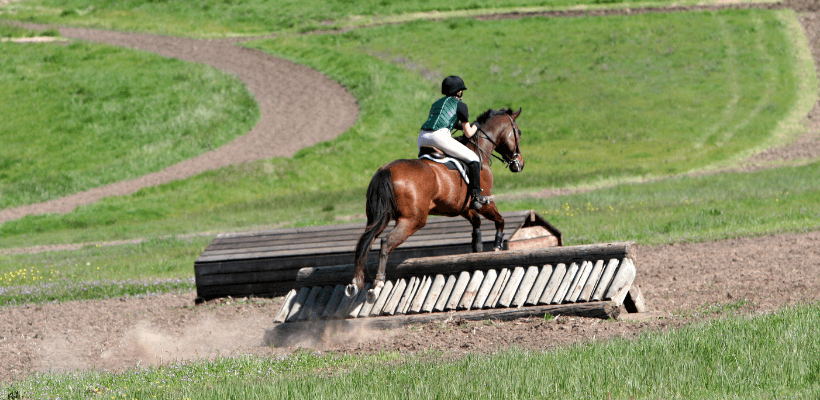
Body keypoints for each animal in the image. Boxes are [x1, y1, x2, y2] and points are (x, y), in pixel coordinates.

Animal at [346, 106, 524, 300]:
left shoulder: (461, 207)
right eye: (519, 133)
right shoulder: (485, 203)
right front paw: (497, 246)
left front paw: (477, 247)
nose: (520, 164)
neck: (480, 152)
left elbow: (476, 221)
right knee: (386, 242)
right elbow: (500, 220)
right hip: (413, 220)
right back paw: (377, 285)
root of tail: (386, 170)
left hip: (379, 218)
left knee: (365, 243)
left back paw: (355, 283)